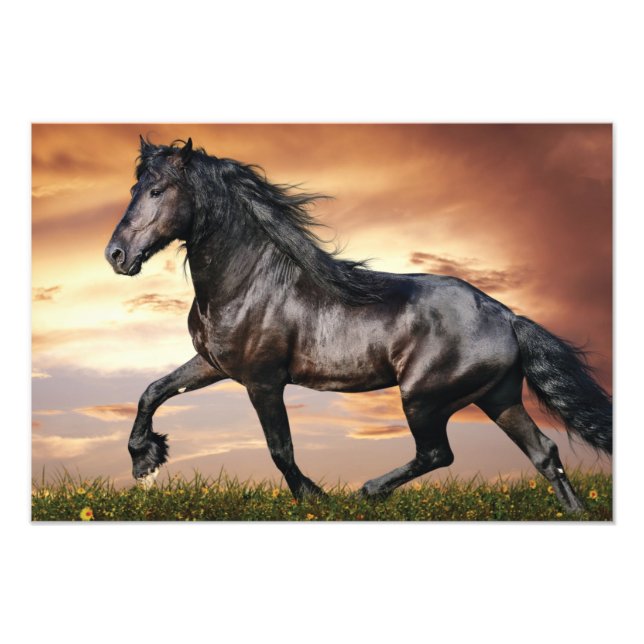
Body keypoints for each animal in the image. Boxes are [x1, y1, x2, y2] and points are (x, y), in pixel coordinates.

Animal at [105, 137, 612, 514]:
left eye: (157, 191)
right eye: (133, 190)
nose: (116, 255)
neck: (250, 281)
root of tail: (506, 316)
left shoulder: (263, 381)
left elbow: (280, 449)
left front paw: (315, 499)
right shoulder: (214, 364)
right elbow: (153, 391)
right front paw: (145, 460)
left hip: (424, 399)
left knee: (438, 453)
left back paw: (366, 492)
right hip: (497, 397)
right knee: (544, 453)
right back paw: (575, 514)